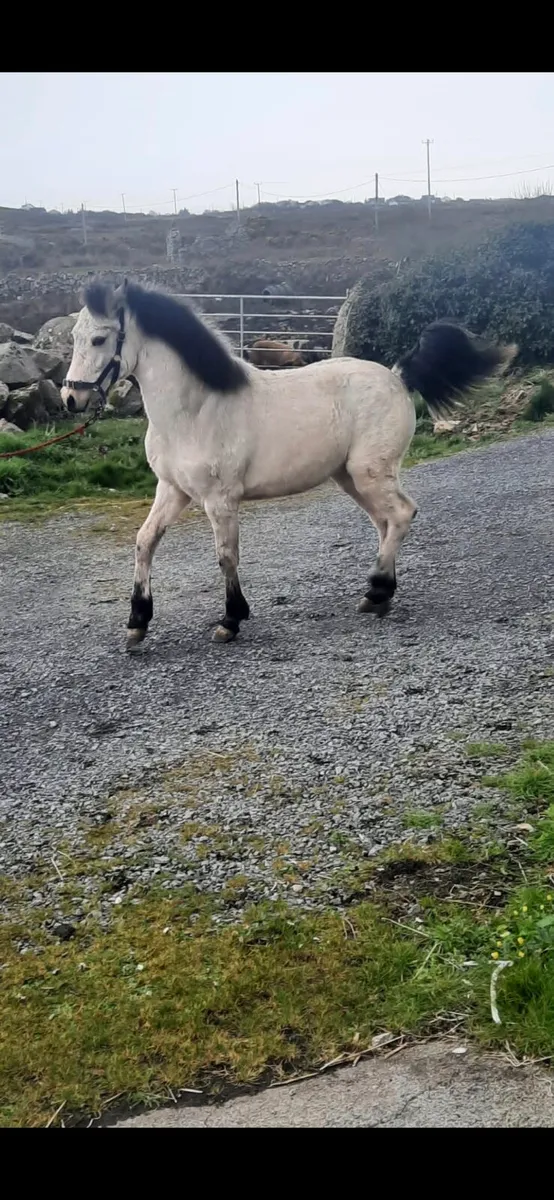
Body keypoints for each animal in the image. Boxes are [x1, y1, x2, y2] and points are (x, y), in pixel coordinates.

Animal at [61, 281, 516, 649]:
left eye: (100, 339)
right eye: (75, 336)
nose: (71, 399)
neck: (196, 411)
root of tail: (397, 376)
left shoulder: (219, 499)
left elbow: (226, 556)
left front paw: (231, 620)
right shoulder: (173, 490)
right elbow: (145, 541)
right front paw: (137, 622)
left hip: (370, 473)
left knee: (402, 514)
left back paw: (377, 592)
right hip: (350, 478)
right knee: (386, 522)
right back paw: (377, 595)